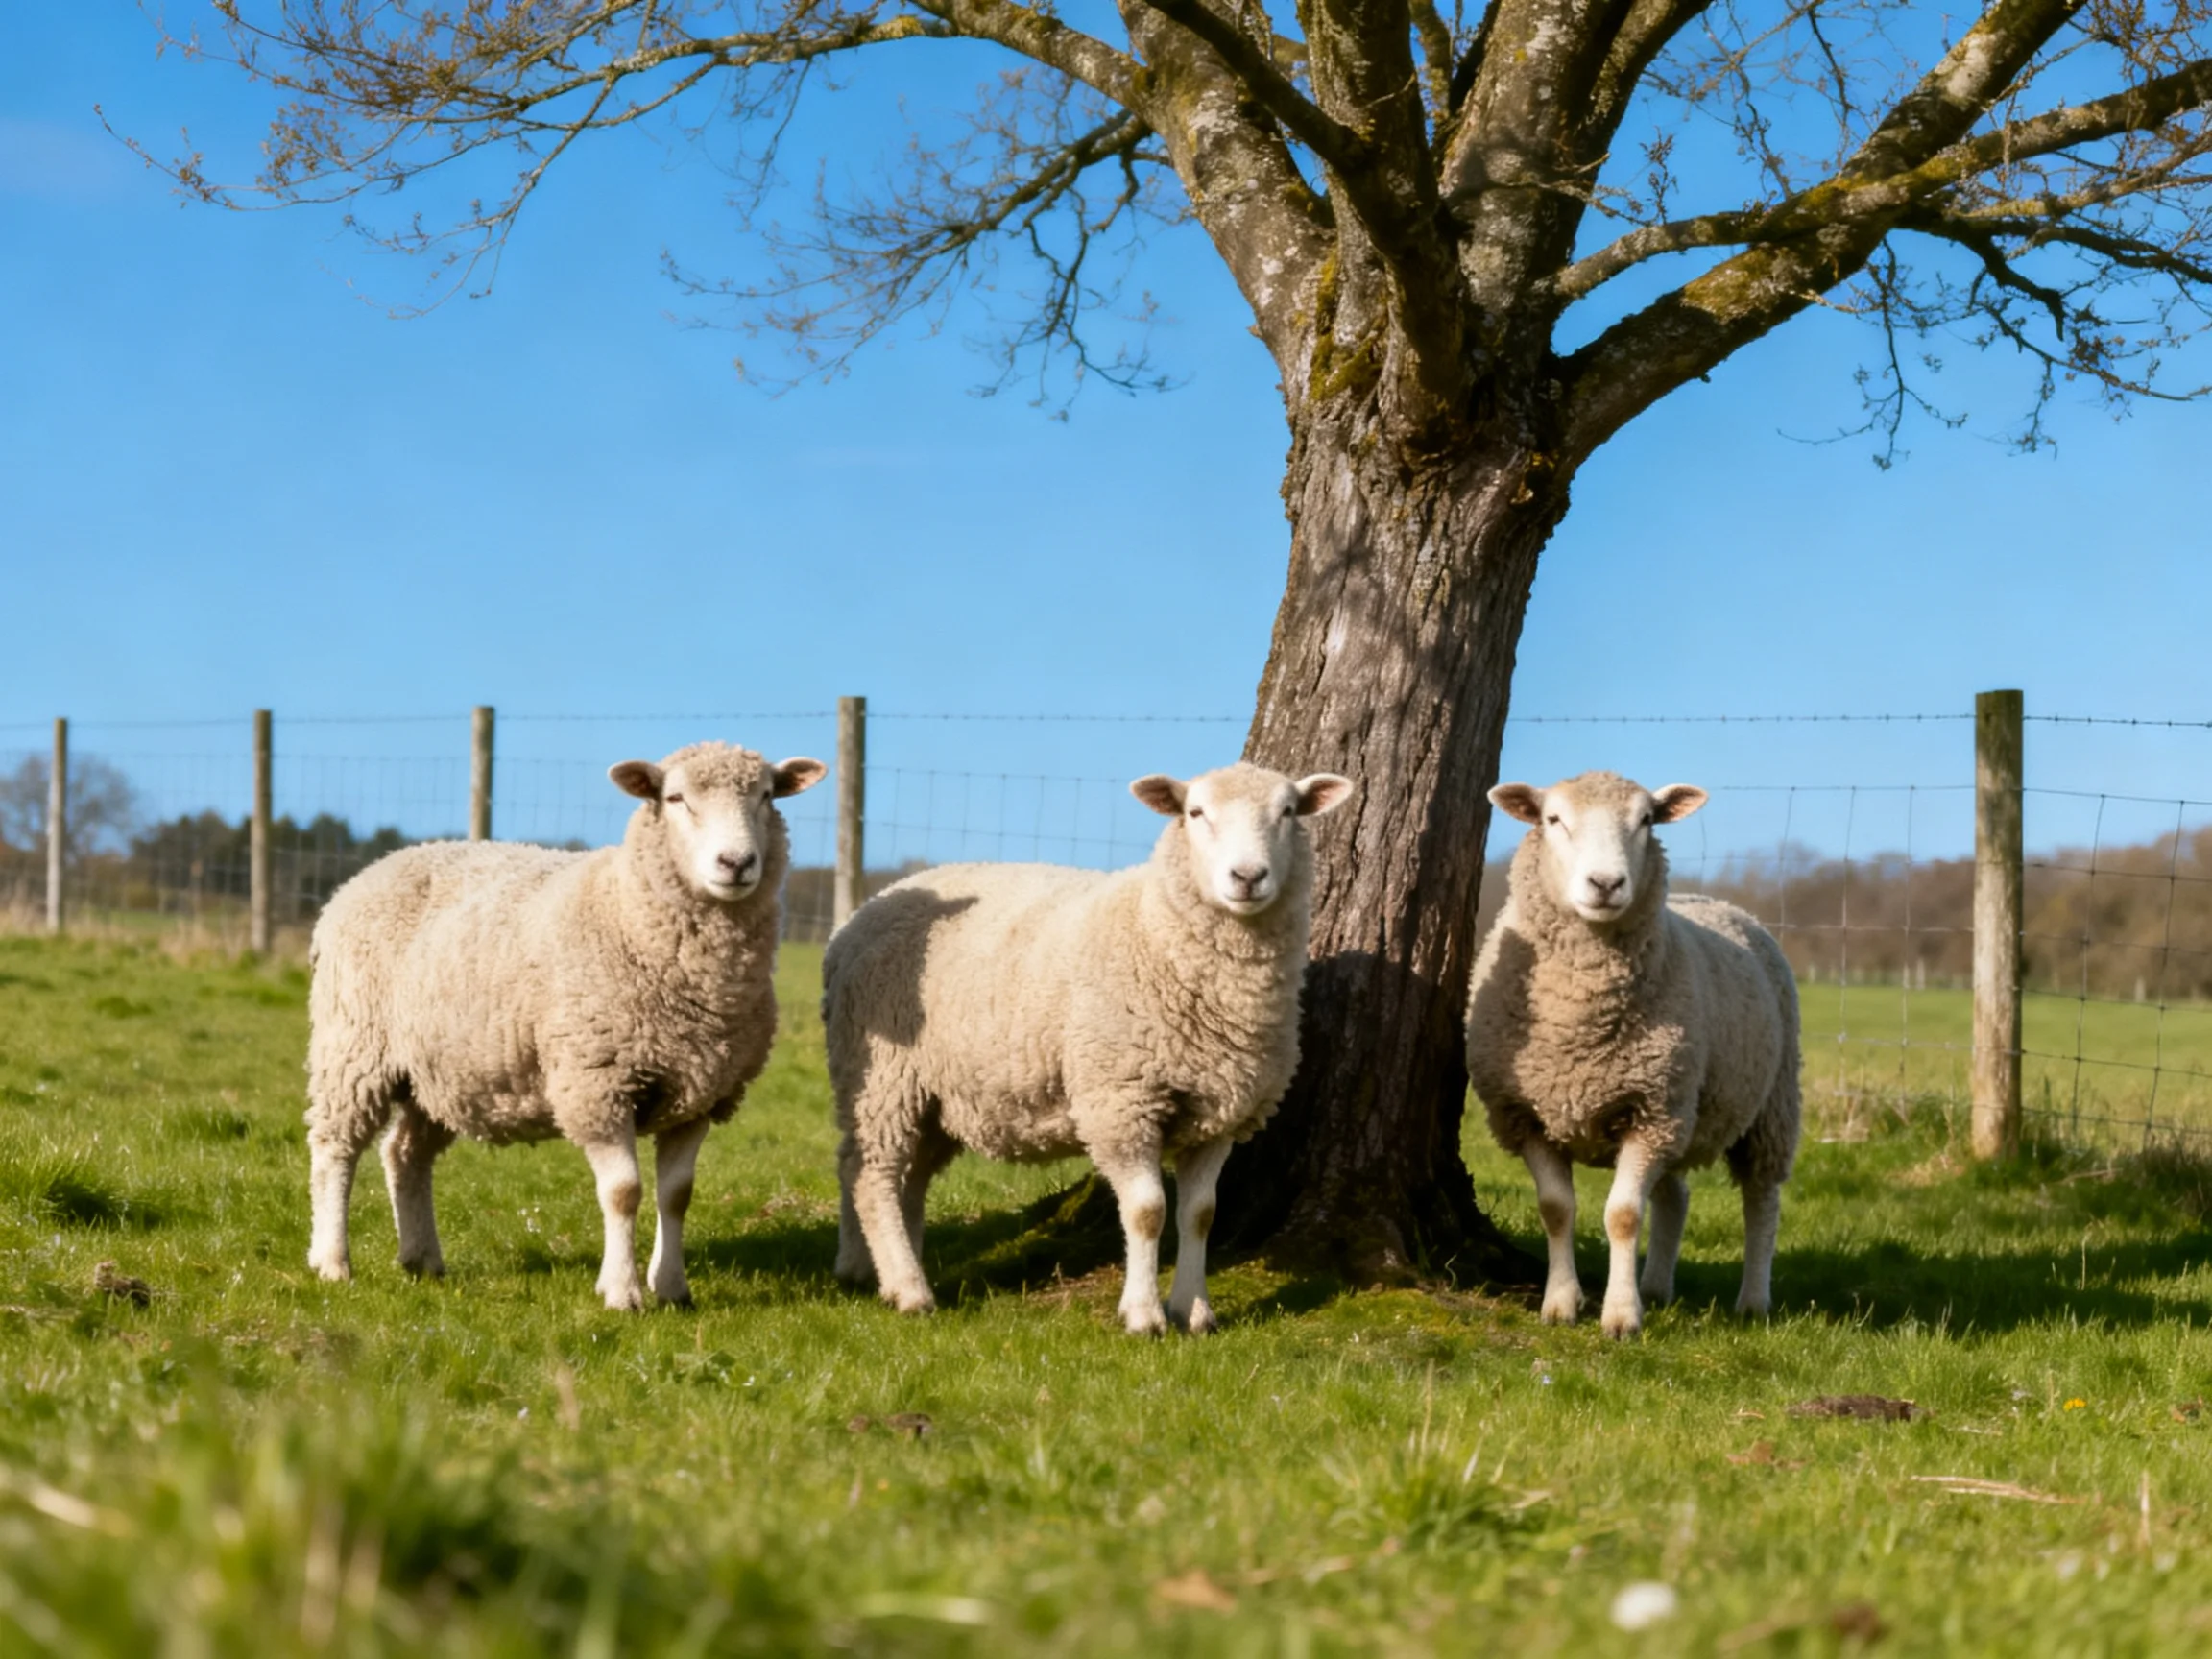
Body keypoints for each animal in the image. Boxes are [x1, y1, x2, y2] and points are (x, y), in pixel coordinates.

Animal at [304, 742, 825, 1310]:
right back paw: (332, 1262)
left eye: (767, 796)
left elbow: (677, 1196)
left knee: (404, 1154)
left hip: (438, 1071)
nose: (736, 863)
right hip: (353, 1047)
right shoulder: (596, 1084)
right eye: (676, 798)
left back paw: (422, 1260)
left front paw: (672, 1289)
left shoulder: (700, 1092)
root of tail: (382, 864)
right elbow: (624, 1192)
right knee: (335, 1149)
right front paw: (622, 1292)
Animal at [822, 762, 1353, 1335]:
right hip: (882, 1078)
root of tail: (864, 910)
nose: (1248, 877)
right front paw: (1143, 1315)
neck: (1157, 930)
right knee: (872, 1176)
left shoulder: (1219, 1113)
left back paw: (869, 1269)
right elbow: (1147, 1211)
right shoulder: (1119, 1102)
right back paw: (907, 1288)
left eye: (1288, 812)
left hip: (935, 1095)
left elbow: (1200, 1214)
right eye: (1195, 813)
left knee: (898, 1176)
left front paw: (1195, 1312)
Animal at [1465, 771, 1800, 1339]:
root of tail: (1731, 908)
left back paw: (1753, 1300)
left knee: (1762, 1199)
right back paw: (1657, 1287)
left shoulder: (1650, 1112)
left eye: (1646, 820)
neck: (1580, 1023)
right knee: (1675, 1197)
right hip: (1684, 1112)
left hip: (1767, 1107)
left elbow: (1622, 1215)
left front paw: (1621, 1316)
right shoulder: (1526, 1114)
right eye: (1553, 819)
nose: (1605, 884)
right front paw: (1561, 1303)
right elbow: (1556, 1209)